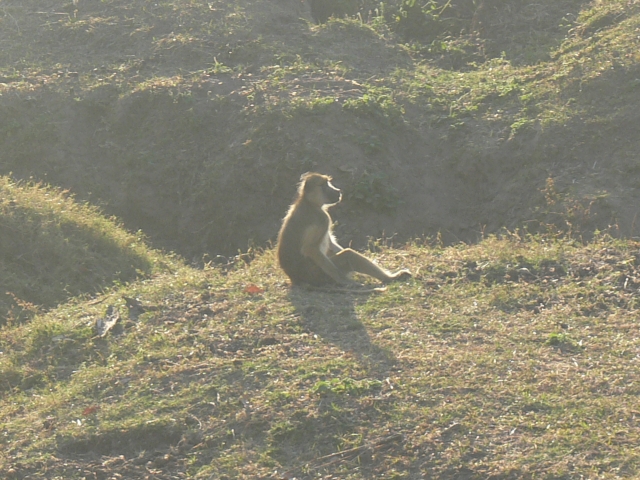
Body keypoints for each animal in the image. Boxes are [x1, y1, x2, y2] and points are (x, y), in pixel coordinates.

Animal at [277, 172, 411, 287]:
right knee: (349, 255)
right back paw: (390, 278)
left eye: (328, 183)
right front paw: (343, 280)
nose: (338, 190)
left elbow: (331, 244)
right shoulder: (323, 218)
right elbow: (310, 249)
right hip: (318, 274)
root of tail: (295, 278)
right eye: (324, 185)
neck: (309, 202)